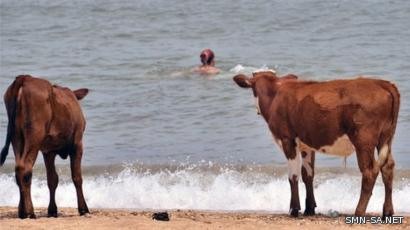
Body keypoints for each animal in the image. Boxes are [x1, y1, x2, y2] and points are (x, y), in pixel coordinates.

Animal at [0, 74, 89, 218]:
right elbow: (77, 177)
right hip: (34, 135)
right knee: (25, 168)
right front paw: (83, 209)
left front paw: (52, 210)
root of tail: (24, 78)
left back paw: (22, 211)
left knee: (18, 168)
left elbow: (52, 179)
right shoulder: (78, 144)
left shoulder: (48, 151)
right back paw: (30, 212)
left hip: (16, 137)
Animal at [234, 70, 400, 217]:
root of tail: (382, 83)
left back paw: (359, 212)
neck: (275, 95)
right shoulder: (307, 145)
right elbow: (308, 175)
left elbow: (293, 176)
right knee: (388, 167)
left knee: (369, 172)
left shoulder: (287, 139)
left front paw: (294, 209)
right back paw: (387, 211)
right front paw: (309, 209)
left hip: (363, 140)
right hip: (386, 137)